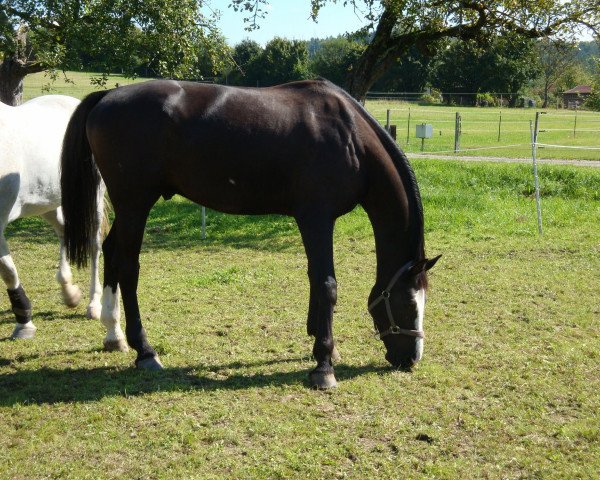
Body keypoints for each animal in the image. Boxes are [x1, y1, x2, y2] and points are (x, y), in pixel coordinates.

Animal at [0, 95, 103, 340]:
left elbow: (8, 271)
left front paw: (24, 324)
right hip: (48, 203)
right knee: (64, 231)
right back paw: (69, 292)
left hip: (91, 198)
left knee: (94, 245)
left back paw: (94, 305)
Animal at [61, 78, 440, 386]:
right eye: (409, 302)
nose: (411, 359)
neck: (349, 136)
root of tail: (108, 96)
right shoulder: (317, 219)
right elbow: (327, 284)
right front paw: (323, 366)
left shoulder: (314, 222)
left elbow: (314, 279)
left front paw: (321, 346)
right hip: (135, 205)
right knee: (128, 266)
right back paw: (145, 351)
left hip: (129, 209)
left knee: (111, 252)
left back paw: (114, 335)